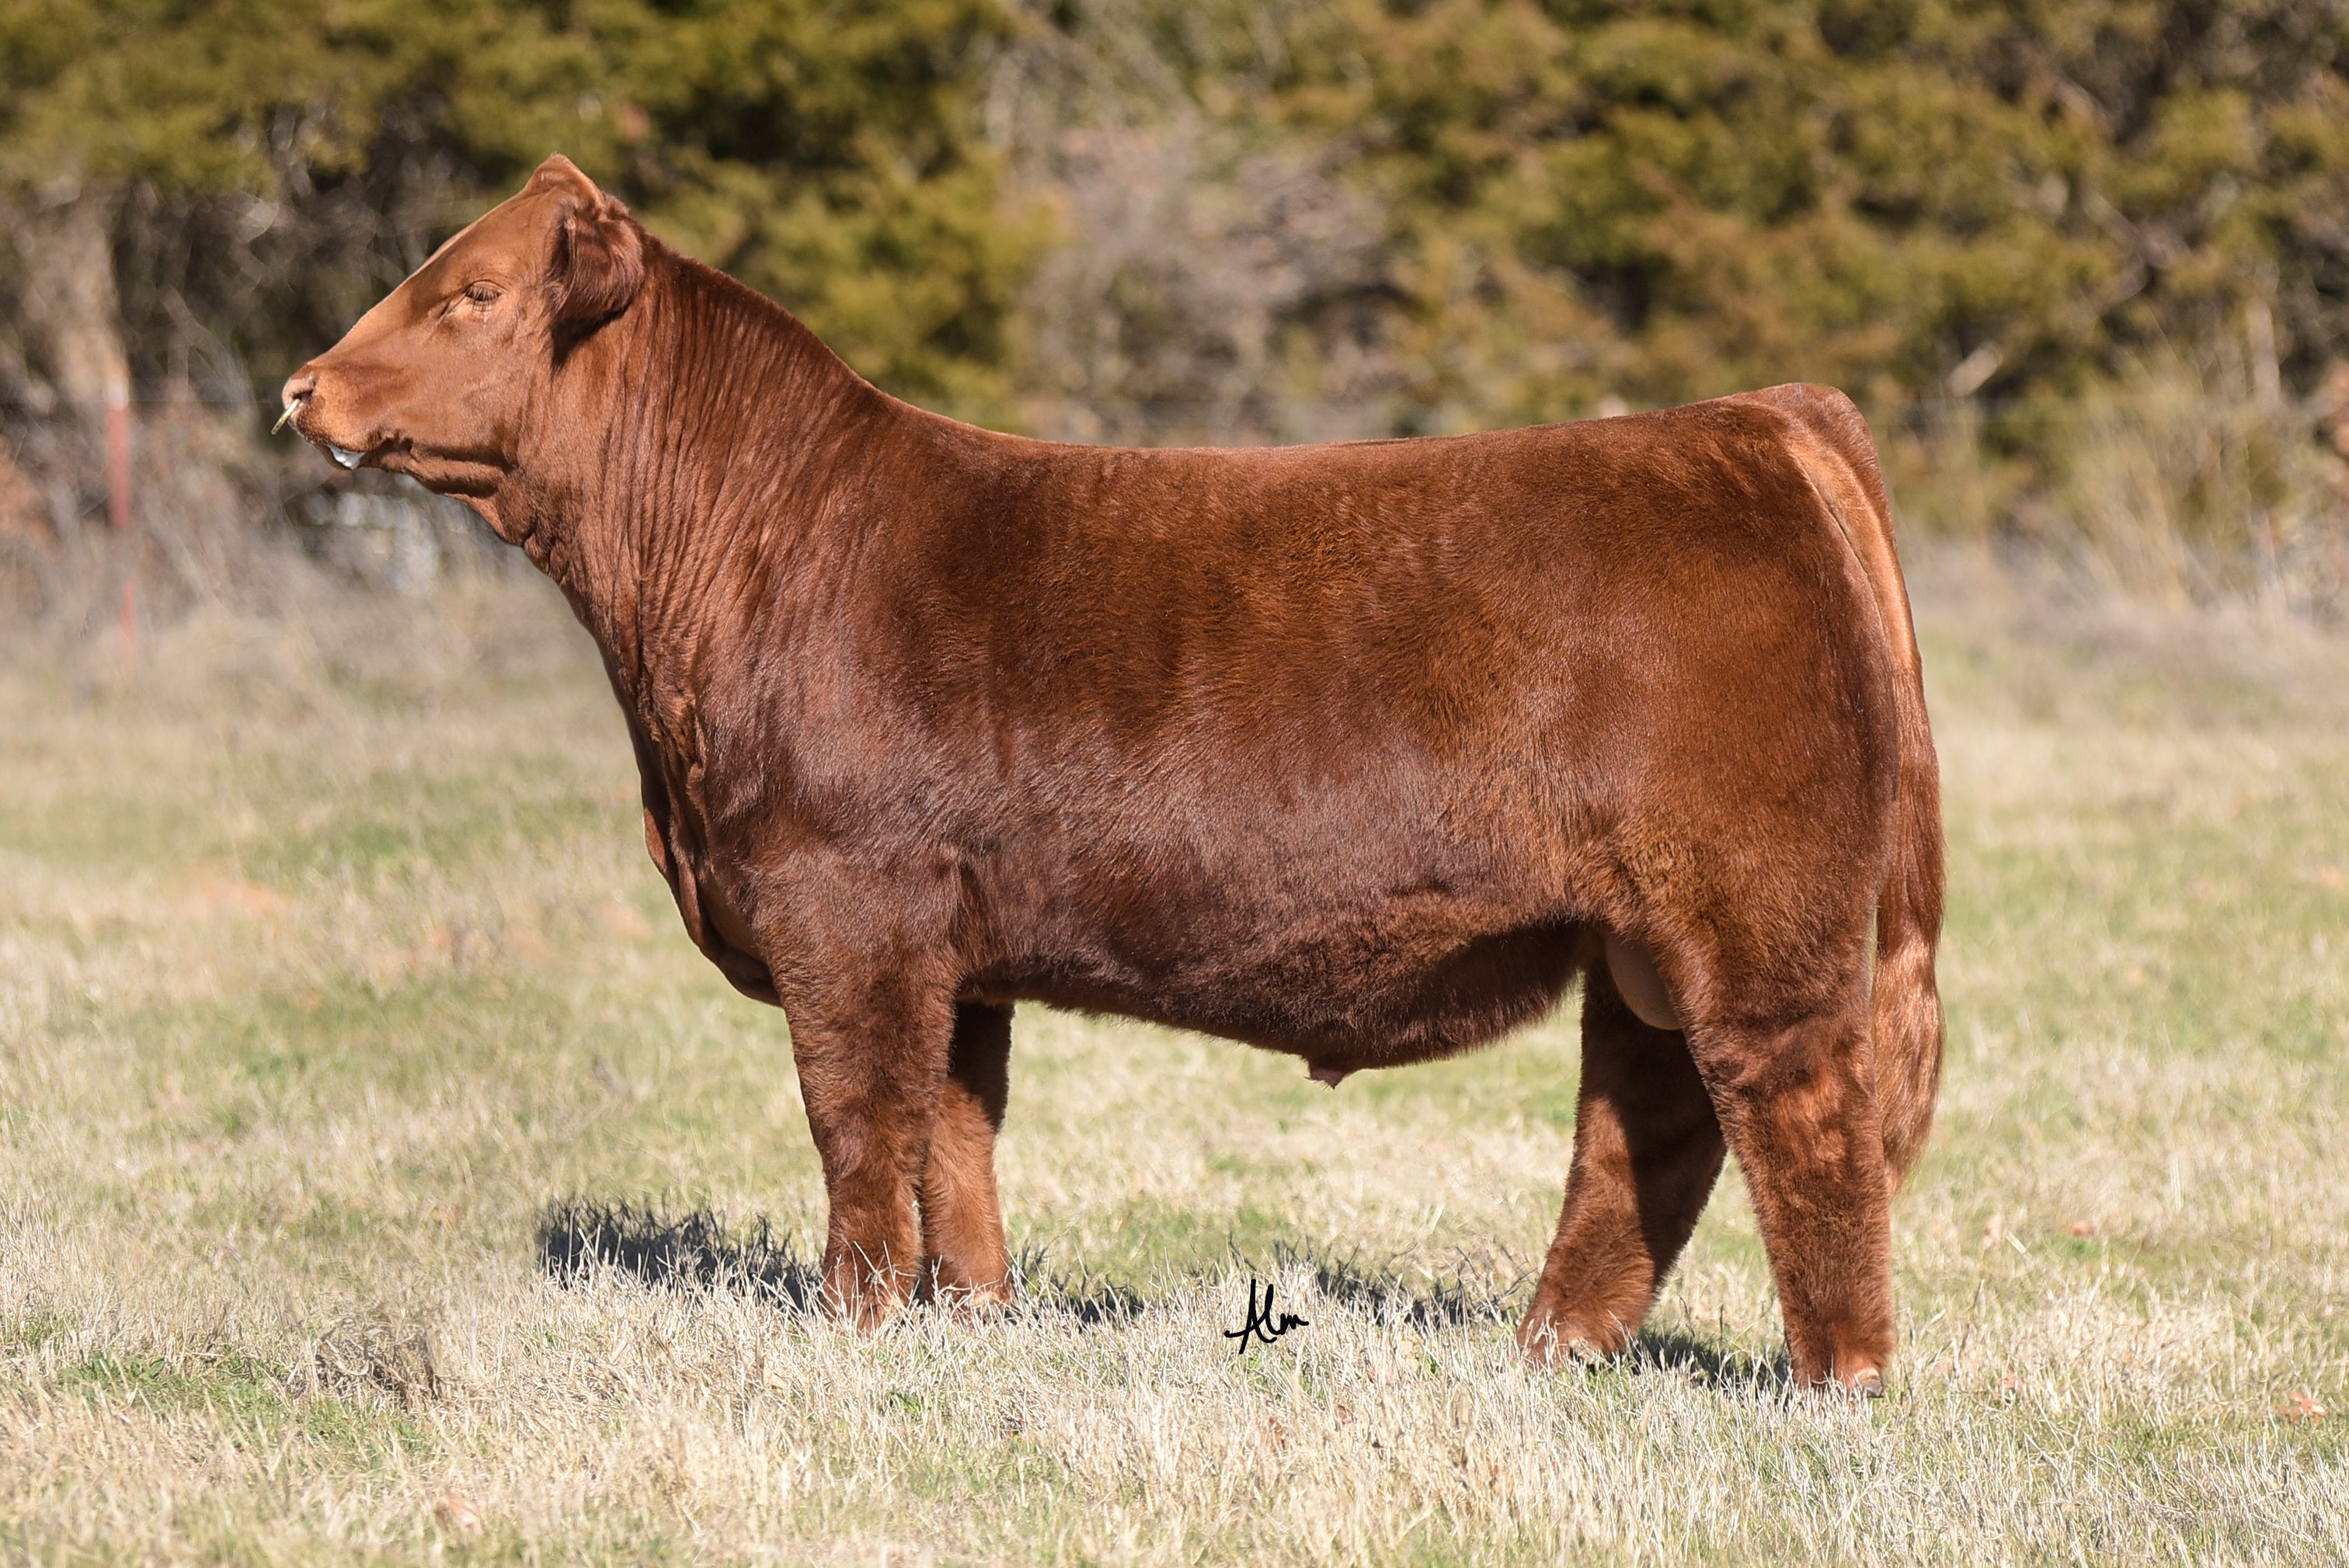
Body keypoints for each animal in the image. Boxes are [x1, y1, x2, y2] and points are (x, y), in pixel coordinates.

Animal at [282, 155, 1943, 1393]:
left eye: (473, 291)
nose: (303, 387)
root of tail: (1752, 419)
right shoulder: (949, 938)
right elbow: (953, 1125)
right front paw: (973, 1312)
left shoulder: (842, 899)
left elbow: (856, 1116)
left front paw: (851, 1316)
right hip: (1640, 935)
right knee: (1643, 1124)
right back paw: (1549, 1350)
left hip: (1751, 912)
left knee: (1795, 1107)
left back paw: (1834, 1379)